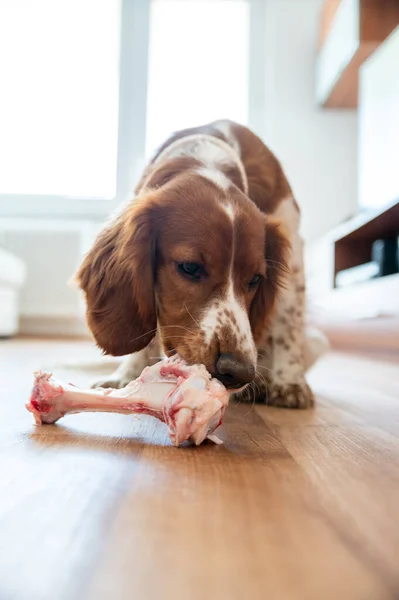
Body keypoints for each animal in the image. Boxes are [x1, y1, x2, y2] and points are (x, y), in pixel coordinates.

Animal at [76, 119, 328, 406]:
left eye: (255, 279)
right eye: (190, 267)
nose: (239, 372)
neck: (205, 159)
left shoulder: (294, 252)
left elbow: (289, 323)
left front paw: (290, 382)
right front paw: (127, 374)